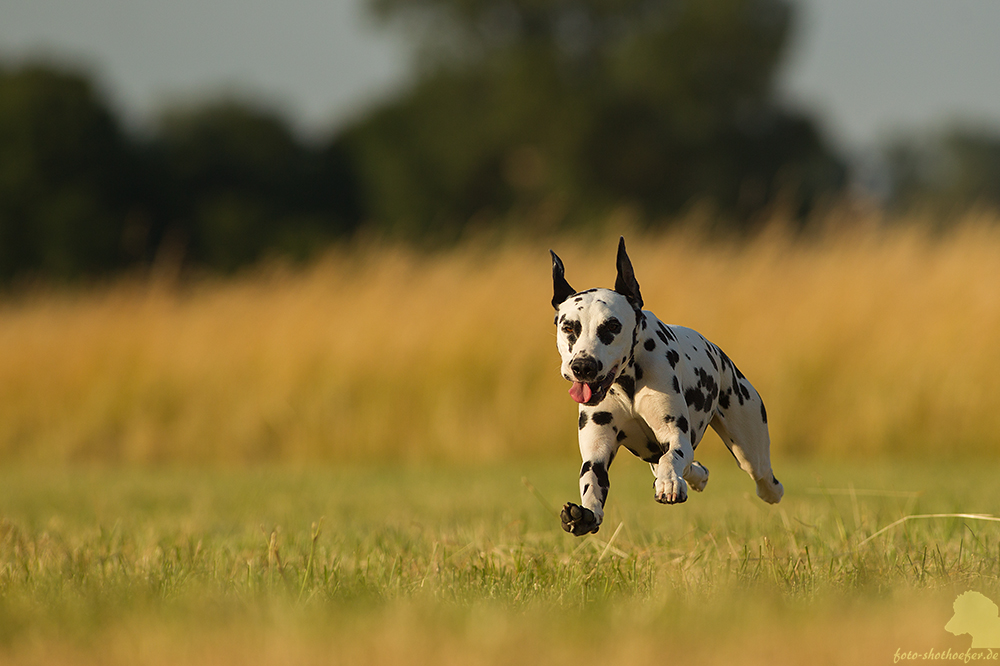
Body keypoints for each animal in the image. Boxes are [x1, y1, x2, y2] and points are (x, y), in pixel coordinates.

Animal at [556, 237, 780, 536]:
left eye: (612, 326)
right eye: (569, 327)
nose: (583, 366)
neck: (627, 383)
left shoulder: (675, 436)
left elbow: (672, 457)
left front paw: (669, 484)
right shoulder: (596, 455)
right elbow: (591, 482)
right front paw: (585, 515)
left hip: (750, 450)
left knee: (762, 475)